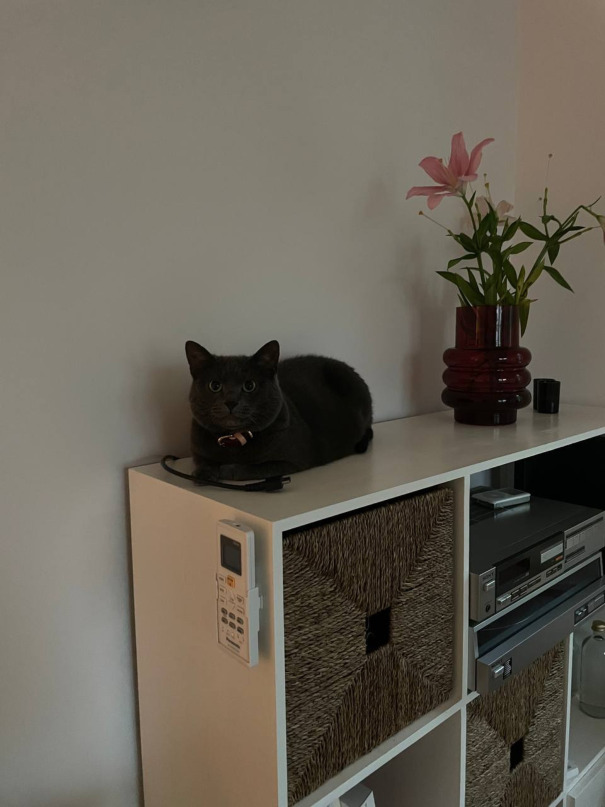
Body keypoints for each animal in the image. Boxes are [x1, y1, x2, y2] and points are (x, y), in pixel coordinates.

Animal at [185, 340, 373, 481]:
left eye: (249, 385)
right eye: (214, 385)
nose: (231, 401)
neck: (233, 439)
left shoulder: (289, 462)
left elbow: (251, 469)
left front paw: (224, 470)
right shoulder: (197, 450)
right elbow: (203, 462)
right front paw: (203, 472)